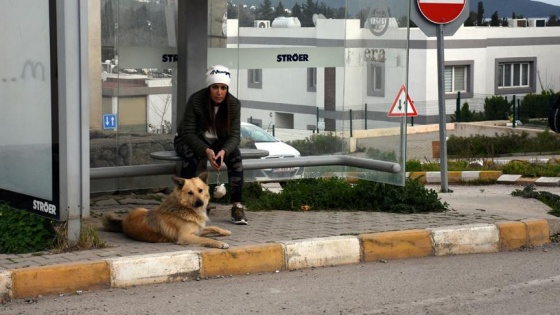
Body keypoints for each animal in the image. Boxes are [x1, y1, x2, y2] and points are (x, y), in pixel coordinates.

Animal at [101, 173, 231, 249]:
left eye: (200, 190)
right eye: (190, 193)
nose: (200, 203)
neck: (185, 208)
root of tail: (124, 222)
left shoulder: (197, 231)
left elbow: (213, 227)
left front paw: (224, 231)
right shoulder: (185, 236)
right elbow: (207, 239)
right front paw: (220, 243)